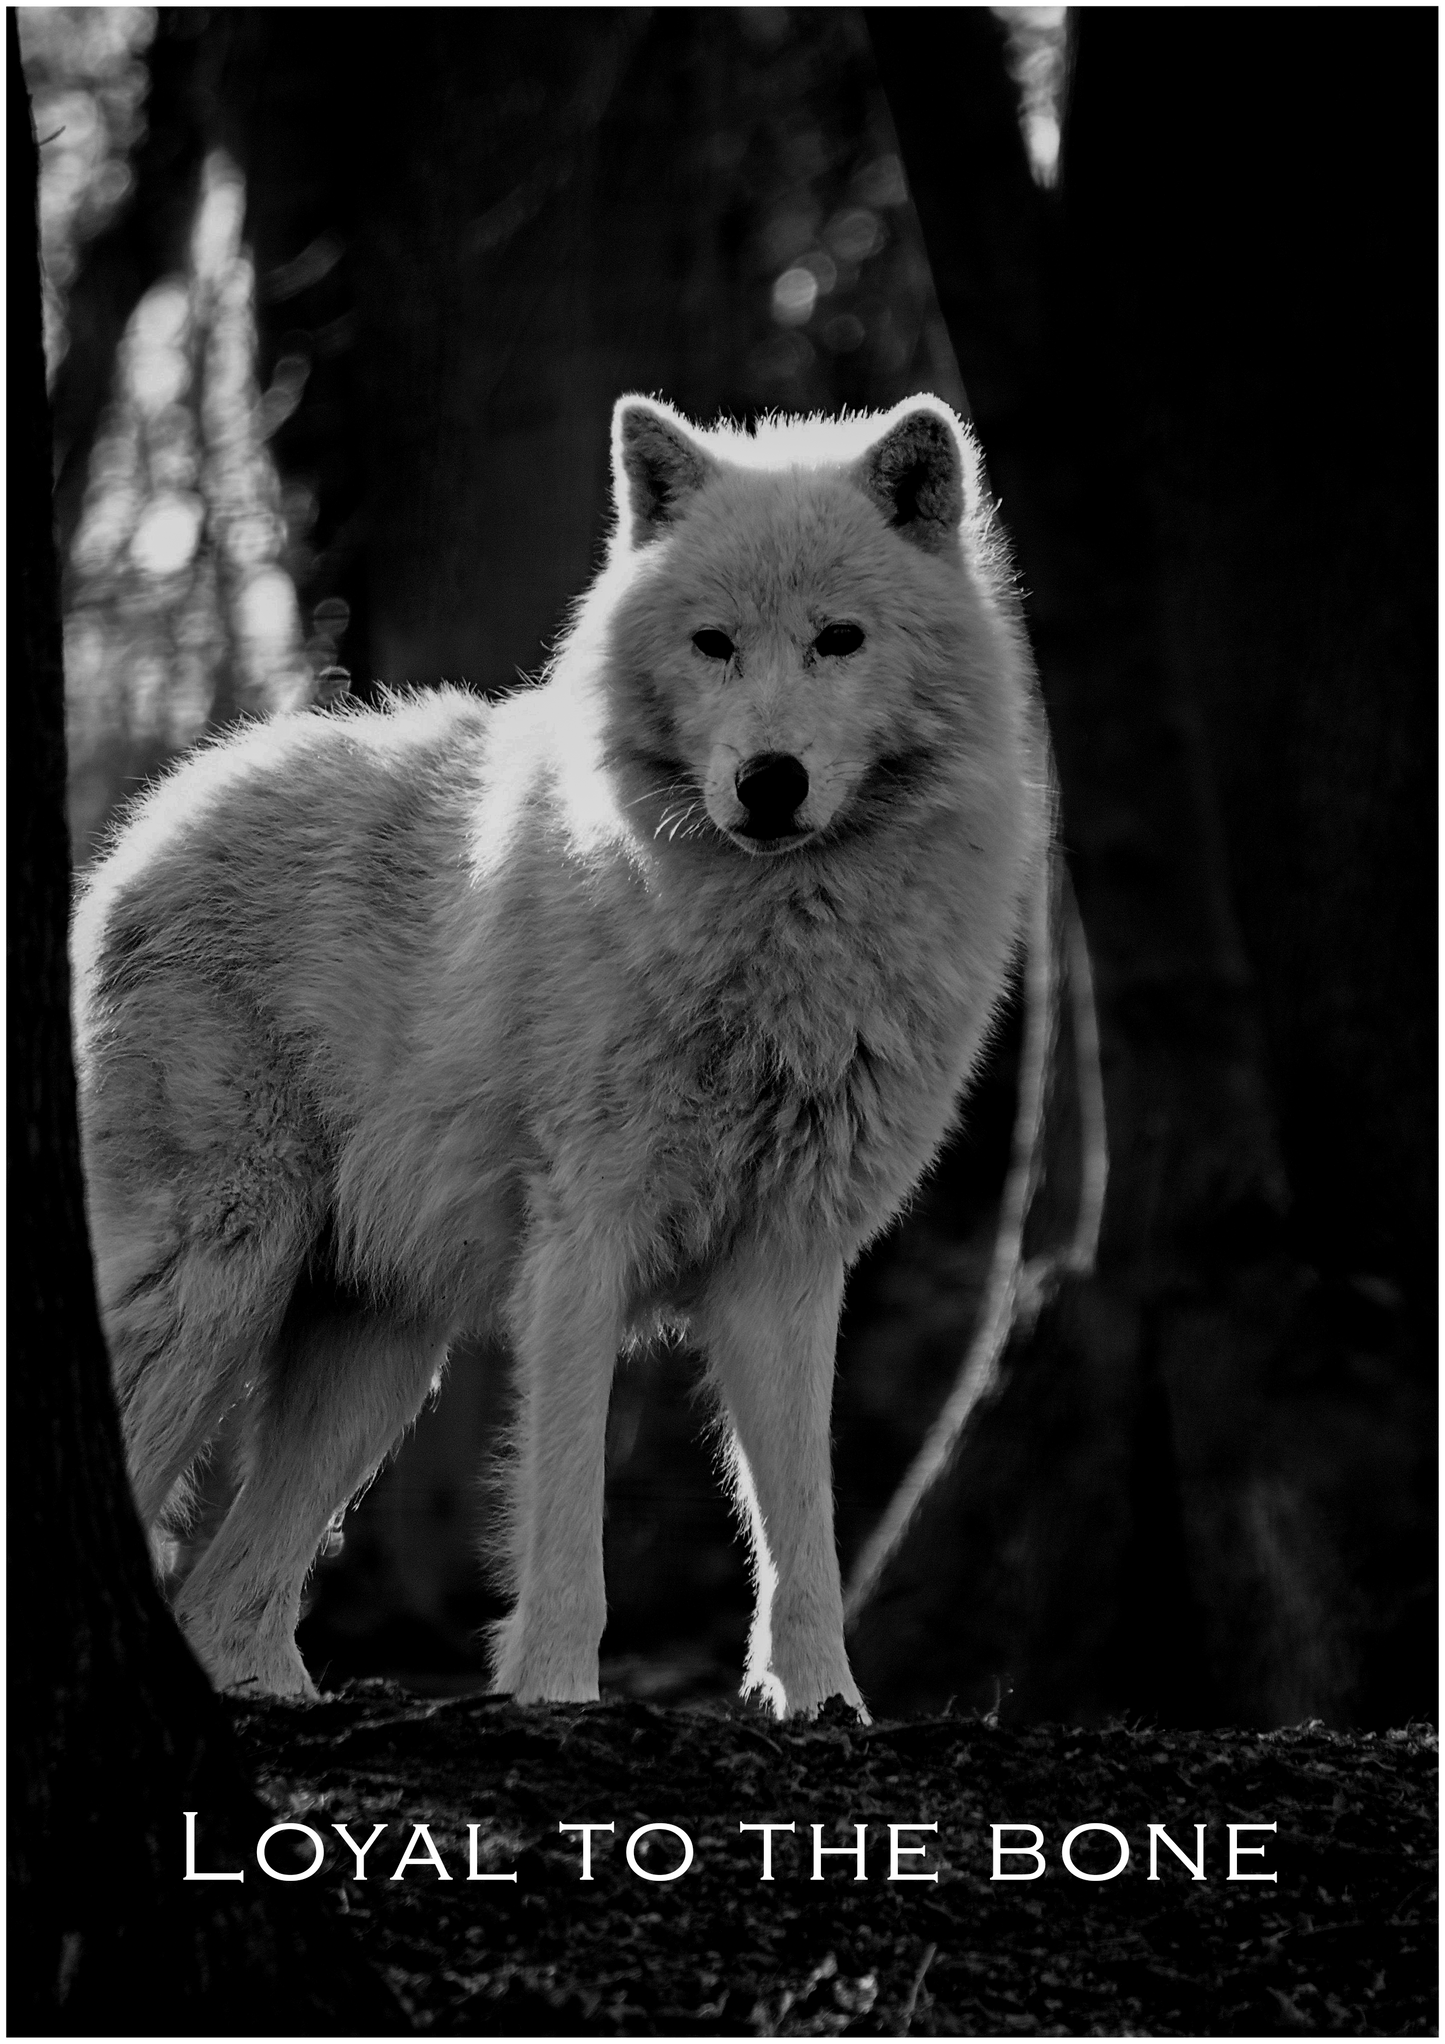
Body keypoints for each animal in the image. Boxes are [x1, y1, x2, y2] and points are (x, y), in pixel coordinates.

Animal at [72, 393, 1049, 1715]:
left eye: (837, 640)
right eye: (712, 644)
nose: (768, 781)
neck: (775, 943)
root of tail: (152, 816)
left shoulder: (785, 1262)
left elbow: (803, 1531)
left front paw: (824, 1704)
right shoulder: (583, 1241)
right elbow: (566, 1522)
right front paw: (553, 1694)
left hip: (375, 1354)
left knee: (225, 1601)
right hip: (218, 1278)